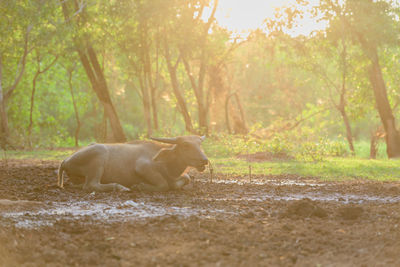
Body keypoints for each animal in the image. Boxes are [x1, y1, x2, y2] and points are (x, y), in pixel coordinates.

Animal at [59, 136, 209, 193]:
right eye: (186, 145)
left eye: (199, 144)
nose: (204, 160)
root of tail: (66, 160)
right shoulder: (142, 167)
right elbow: (164, 185)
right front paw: (140, 186)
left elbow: (185, 179)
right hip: (99, 155)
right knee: (90, 185)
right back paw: (121, 187)